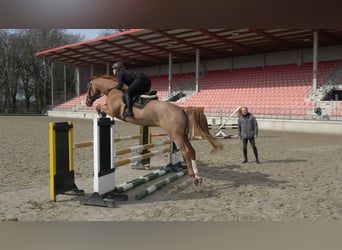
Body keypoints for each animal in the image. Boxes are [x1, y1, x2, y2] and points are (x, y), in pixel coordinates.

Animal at [86, 75, 222, 186]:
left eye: (88, 87)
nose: (87, 102)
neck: (113, 91)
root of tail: (181, 109)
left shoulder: (113, 111)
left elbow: (99, 106)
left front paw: (100, 113)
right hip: (182, 135)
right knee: (192, 151)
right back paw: (198, 176)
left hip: (176, 136)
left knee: (186, 152)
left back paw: (194, 177)